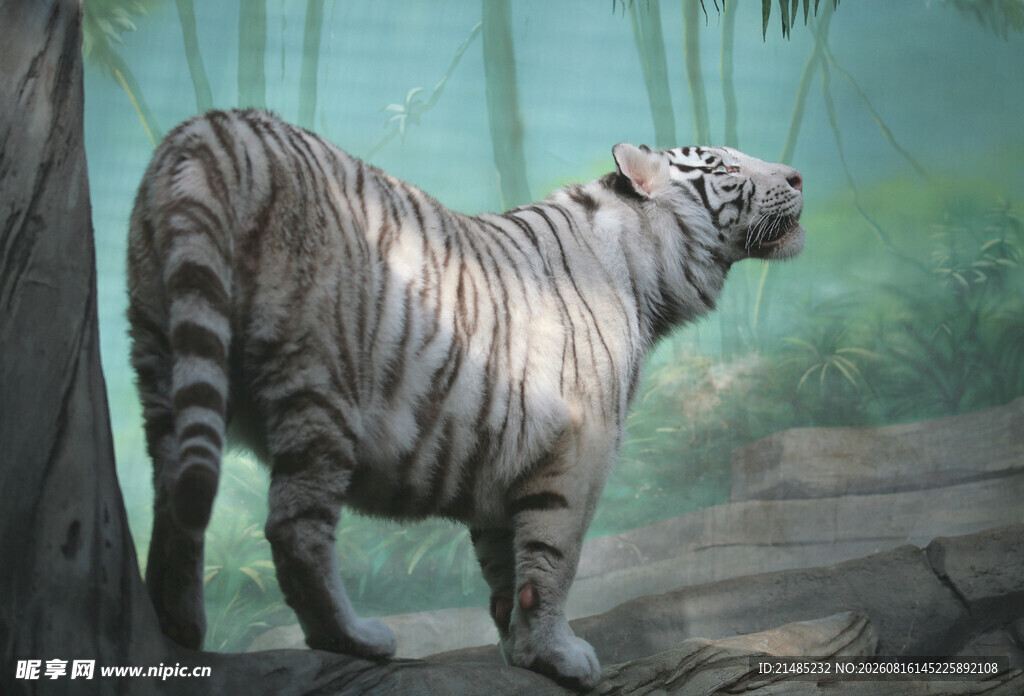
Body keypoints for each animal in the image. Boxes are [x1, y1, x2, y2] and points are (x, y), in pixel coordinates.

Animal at [127, 108, 804, 691]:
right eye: (723, 166)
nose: (798, 176)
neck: (647, 273)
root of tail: (215, 128)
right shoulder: (581, 446)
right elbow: (555, 558)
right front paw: (561, 657)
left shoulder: (505, 456)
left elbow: (504, 567)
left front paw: (521, 651)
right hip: (319, 378)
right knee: (294, 529)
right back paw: (355, 639)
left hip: (161, 357)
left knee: (175, 498)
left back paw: (181, 628)